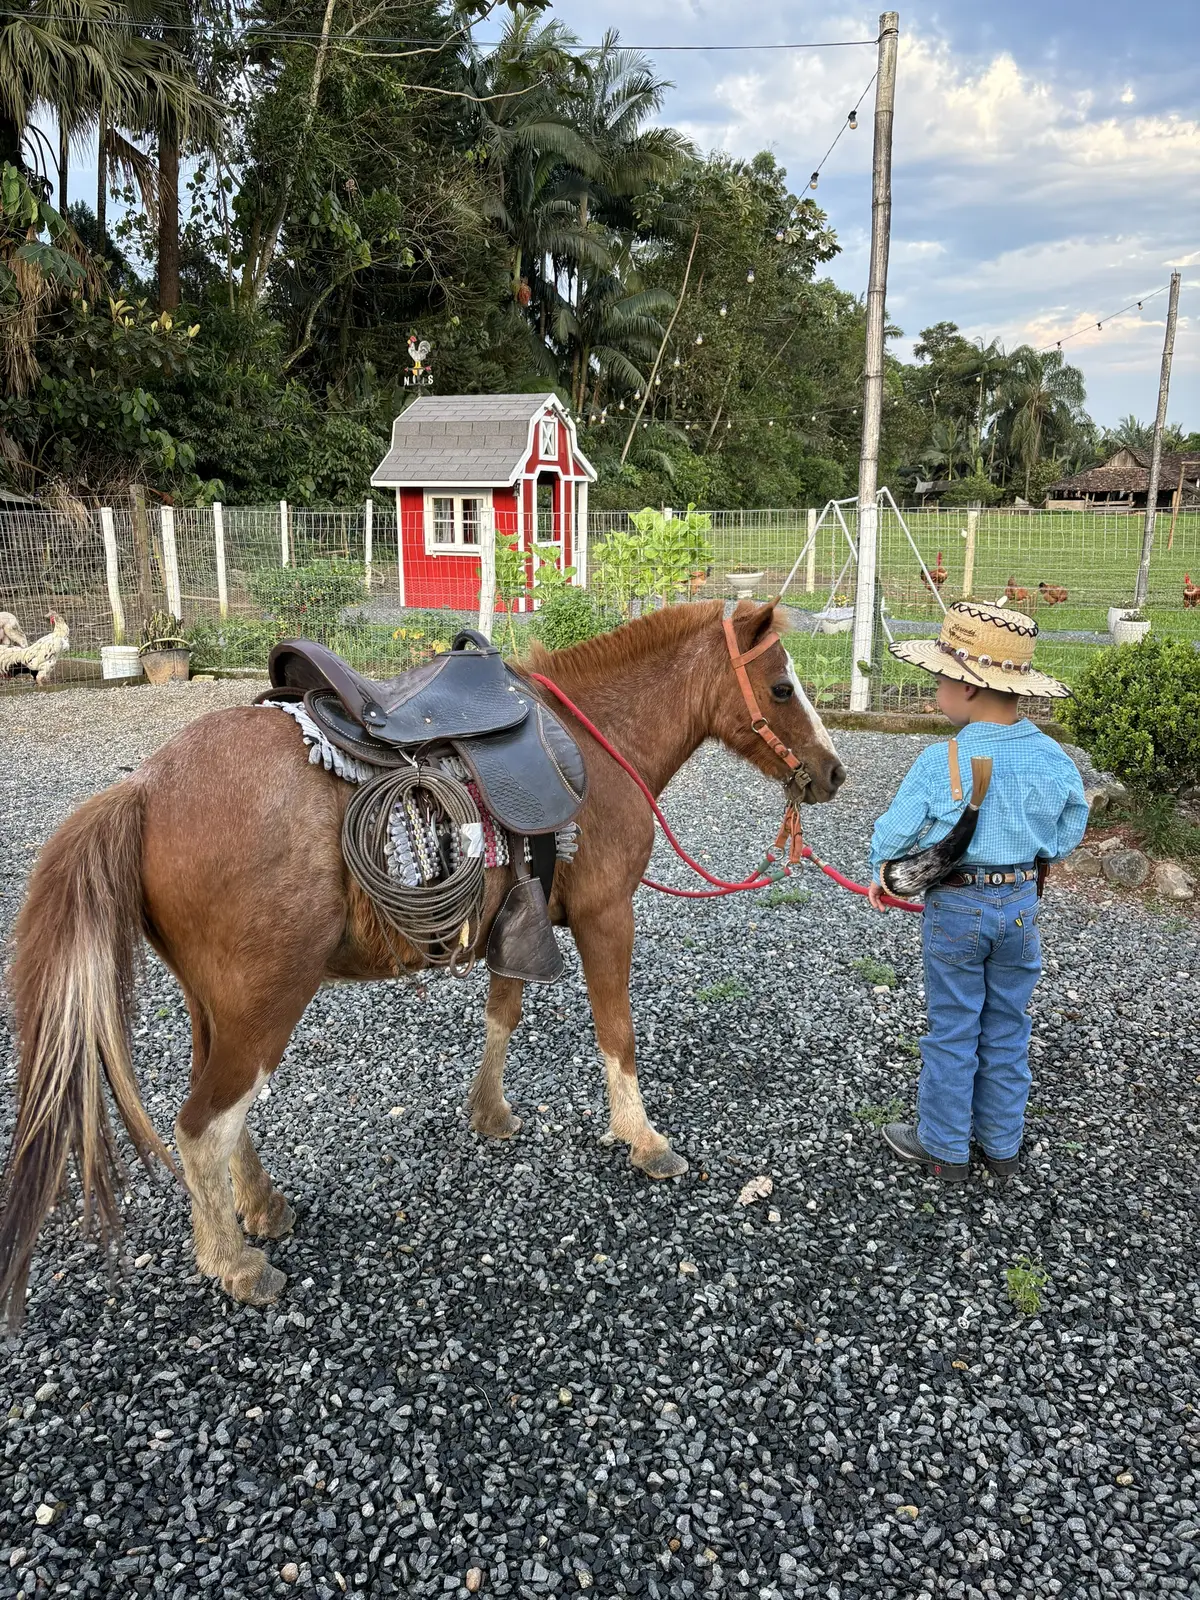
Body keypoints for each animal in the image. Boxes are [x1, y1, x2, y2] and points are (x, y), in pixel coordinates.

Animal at [0, 601, 844, 1324]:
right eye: (780, 686)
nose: (832, 772)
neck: (594, 746)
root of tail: (144, 788)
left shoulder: (520, 920)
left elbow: (504, 1014)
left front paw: (490, 1113)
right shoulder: (608, 919)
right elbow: (618, 1033)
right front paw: (642, 1139)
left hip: (218, 1006)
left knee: (222, 1115)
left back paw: (261, 1209)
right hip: (266, 1002)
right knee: (203, 1125)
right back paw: (235, 1264)